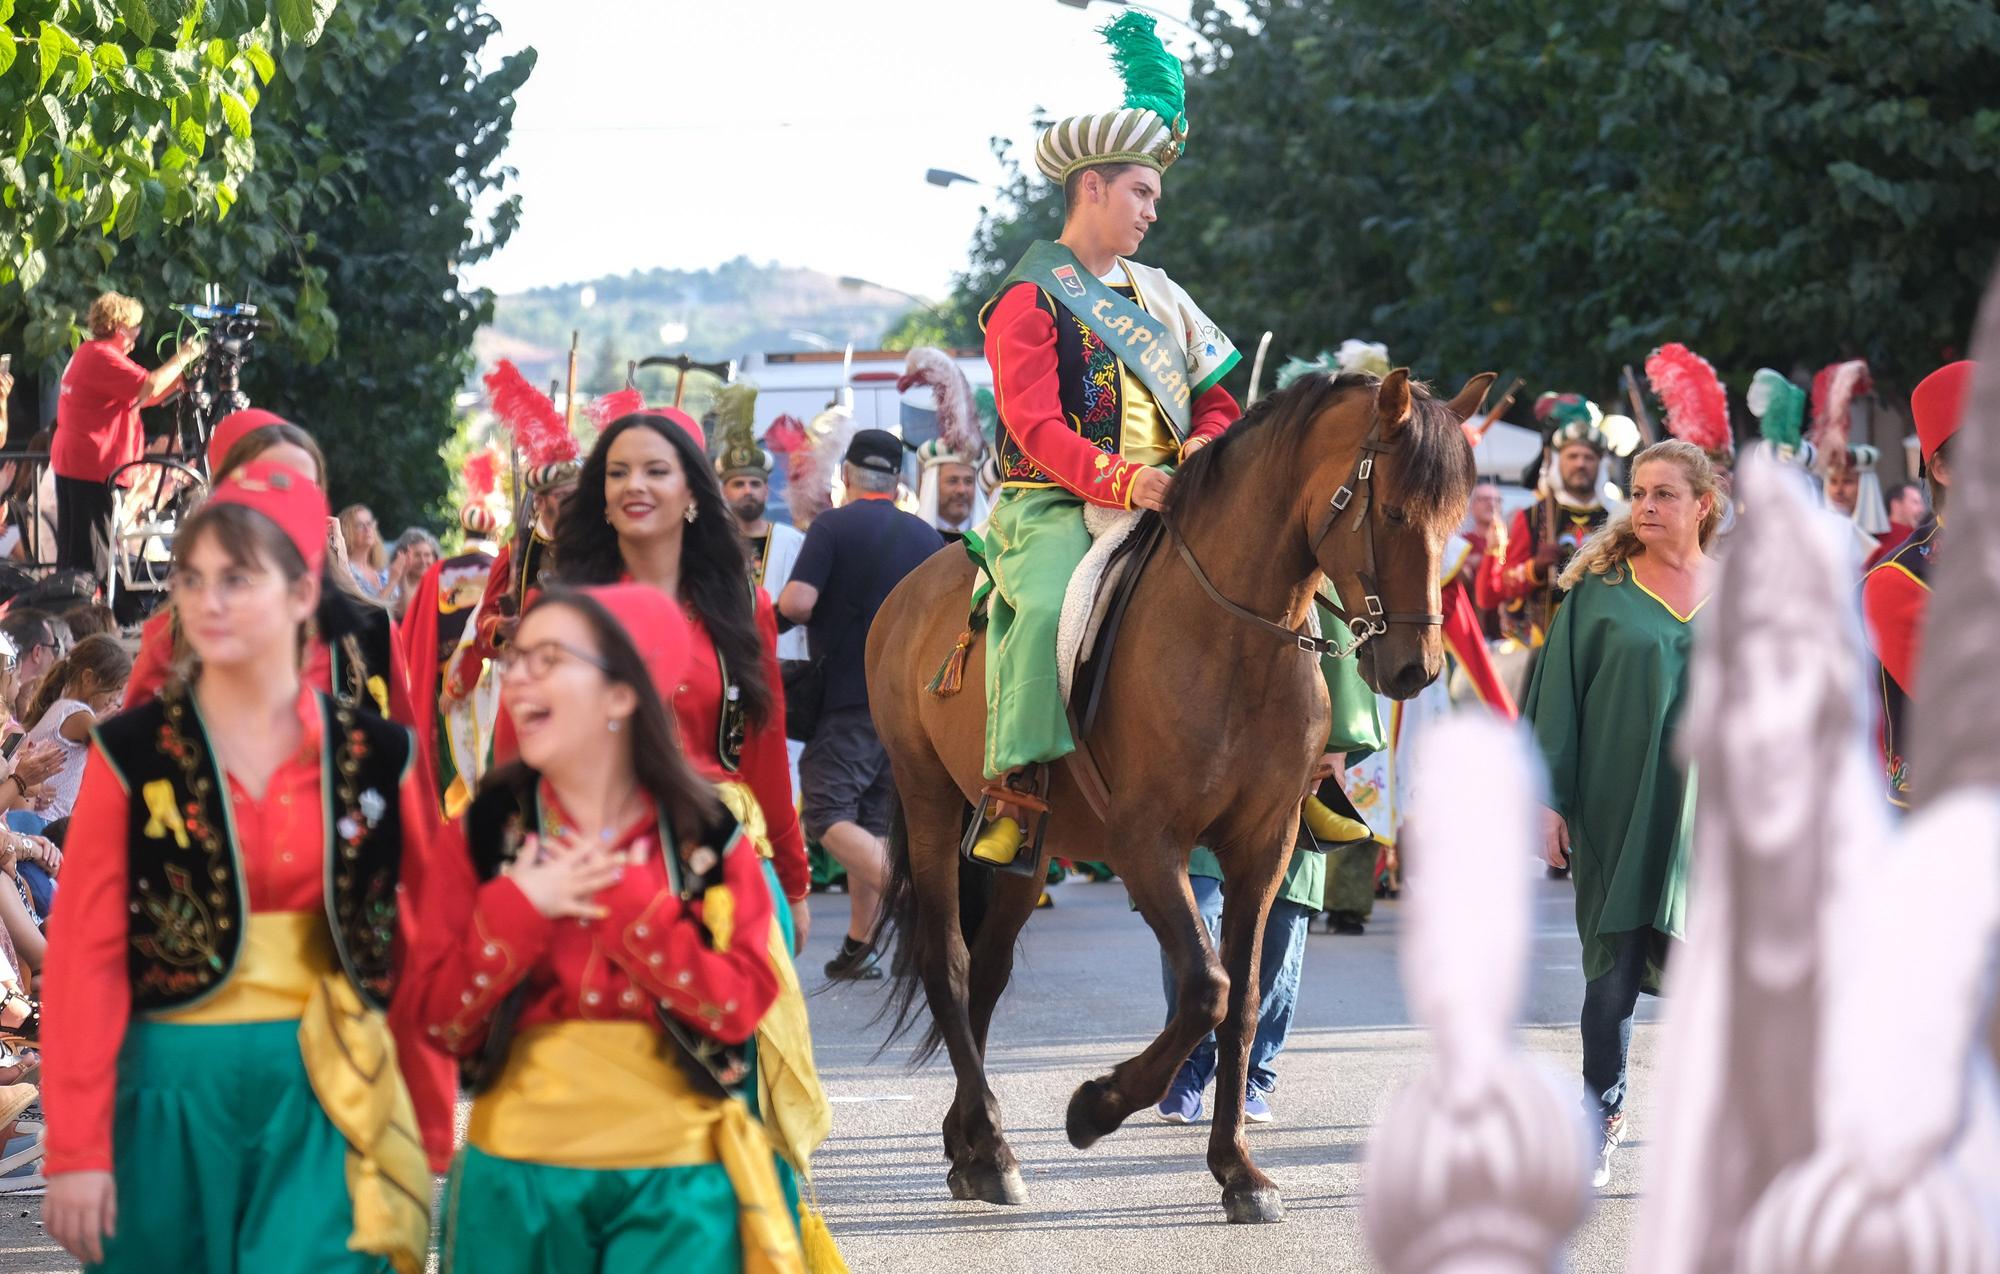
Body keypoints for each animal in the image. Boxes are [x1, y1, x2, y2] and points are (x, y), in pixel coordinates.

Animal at [860, 368, 1488, 1224]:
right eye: (1391, 511)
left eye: (1456, 520)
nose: (1416, 669)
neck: (1236, 640)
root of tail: (913, 587)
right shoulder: (1146, 846)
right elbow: (1204, 988)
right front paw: (1095, 1107)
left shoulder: (1264, 848)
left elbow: (1244, 999)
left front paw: (1238, 1169)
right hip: (927, 798)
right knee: (948, 962)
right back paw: (990, 1144)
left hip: (1028, 847)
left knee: (988, 968)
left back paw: (973, 1145)